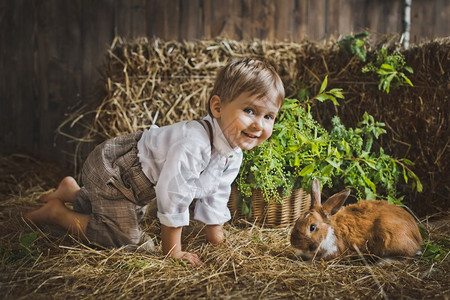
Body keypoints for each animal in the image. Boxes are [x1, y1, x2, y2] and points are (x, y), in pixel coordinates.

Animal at [290, 178, 424, 260]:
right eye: (297, 221)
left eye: (312, 227)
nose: (293, 242)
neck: (328, 231)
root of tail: (417, 238)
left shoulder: (333, 250)